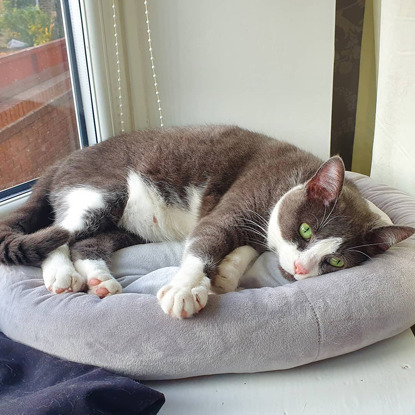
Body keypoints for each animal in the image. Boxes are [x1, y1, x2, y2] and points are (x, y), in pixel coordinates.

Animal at [0, 126, 414, 318]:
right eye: (306, 230)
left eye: (336, 261)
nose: (300, 269)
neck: (293, 177)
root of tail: (61, 161)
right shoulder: (240, 197)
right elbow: (209, 236)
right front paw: (186, 288)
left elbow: (246, 247)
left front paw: (227, 274)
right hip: (101, 192)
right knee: (56, 234)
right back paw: (61, 275)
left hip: (123, 228)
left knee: (88, 243)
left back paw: (100, 281)